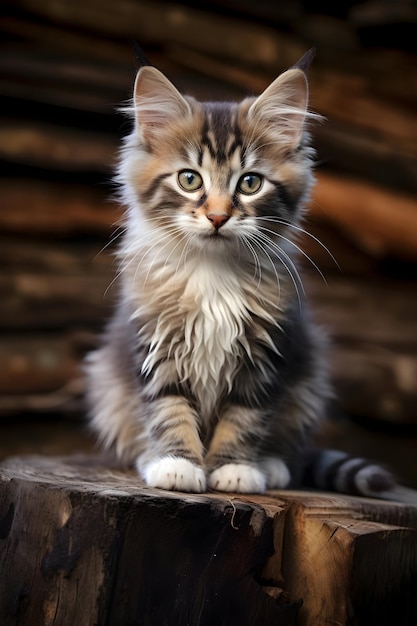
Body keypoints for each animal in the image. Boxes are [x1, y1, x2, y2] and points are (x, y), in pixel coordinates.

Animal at [86, 47, 412, 498]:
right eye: (190, 180)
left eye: (250, 183)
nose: (218, 216)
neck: (212, 272)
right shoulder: (154, 344)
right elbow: (168, 408)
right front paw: (176, 464)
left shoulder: (267, 351)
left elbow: (244, 416)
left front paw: (234, 469)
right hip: (107, 385)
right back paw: (149, 458)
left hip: (308, 380)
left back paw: (272, 465)